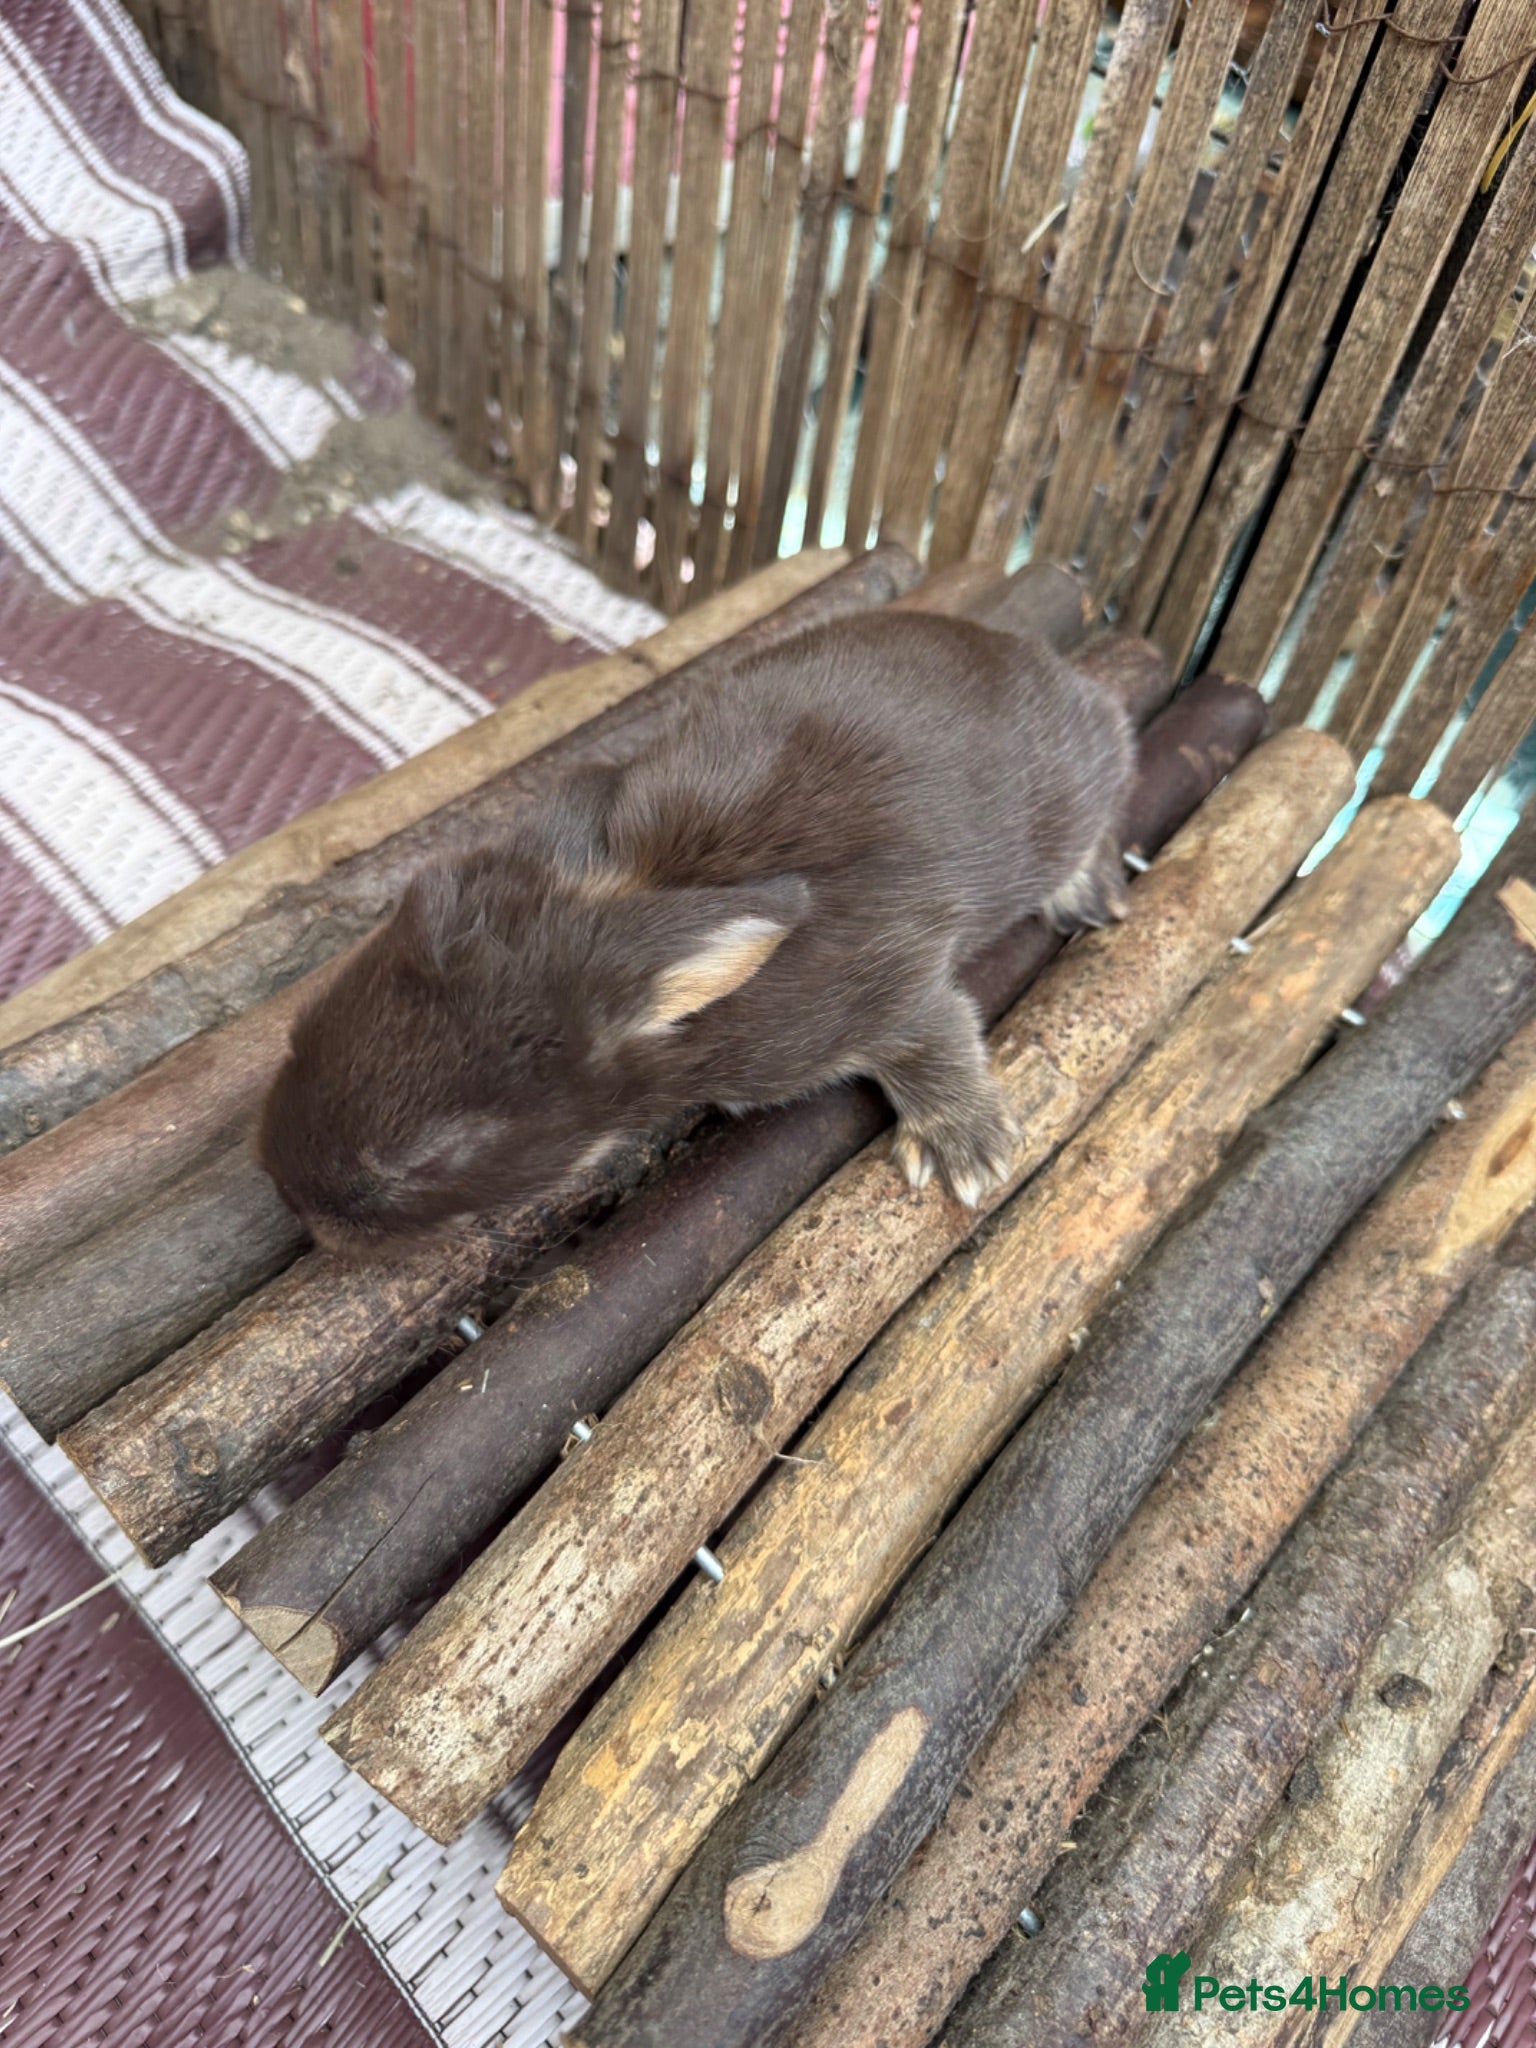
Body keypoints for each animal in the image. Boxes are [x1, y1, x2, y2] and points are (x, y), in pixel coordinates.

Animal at [256, 609, 1136, 1251]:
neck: (620, 890)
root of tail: (1058, 670)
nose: (300, 1208)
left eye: (433, 1157)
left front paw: (968, 1153)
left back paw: (1089, 894)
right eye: (300, 1034)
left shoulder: (885, 979)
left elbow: (935, 1030)